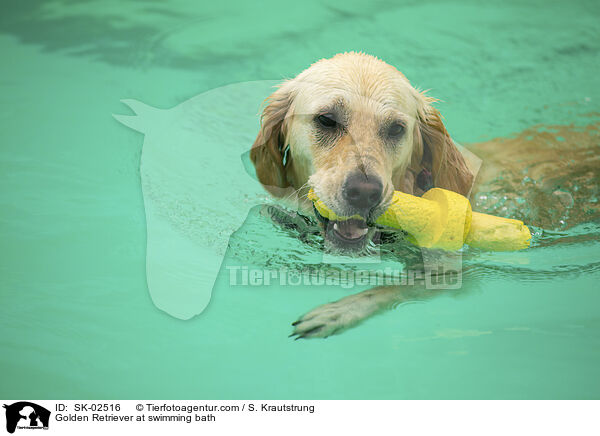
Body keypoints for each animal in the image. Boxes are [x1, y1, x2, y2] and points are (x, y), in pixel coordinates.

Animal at [250, 50, 600, 338]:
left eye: (395, 128)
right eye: (326, 120)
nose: (365, 193)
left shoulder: (453, 269)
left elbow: (394, 287)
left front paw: (338, 311)